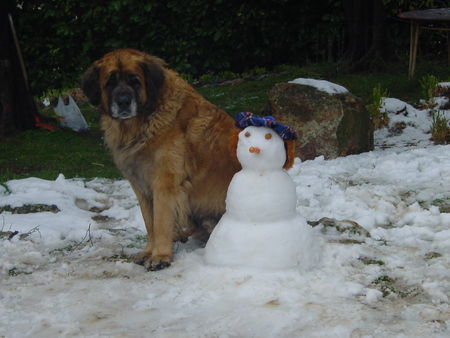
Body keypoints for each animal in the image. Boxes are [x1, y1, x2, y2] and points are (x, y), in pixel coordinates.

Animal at [82, 48, 241, 270]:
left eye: (134, 81)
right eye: (110, 82)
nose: (123, 102)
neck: (142, 123)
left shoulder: (165, 185)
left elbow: (160, 222)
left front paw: (160, 256)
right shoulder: (141, 188)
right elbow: (150, 223)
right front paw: (150, 251)